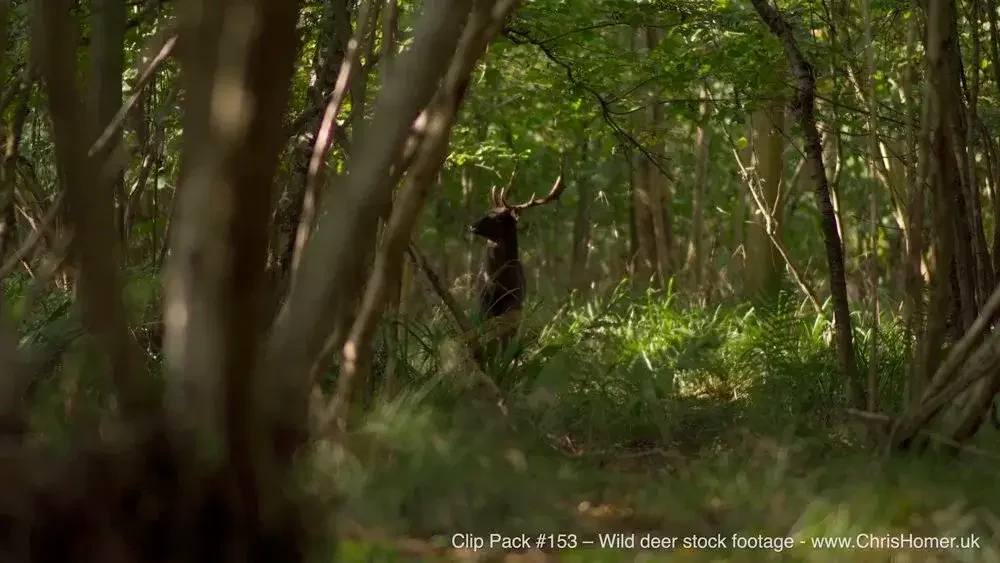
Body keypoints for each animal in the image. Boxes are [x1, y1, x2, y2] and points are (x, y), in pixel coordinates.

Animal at [468, 158, 566, 363]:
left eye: (499, 218)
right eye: (489, 210)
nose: (473, 225)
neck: (497, 282)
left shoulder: (514, 303)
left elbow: (504, 337)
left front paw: (501, 361)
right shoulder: (483, 301)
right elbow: (487, 333)